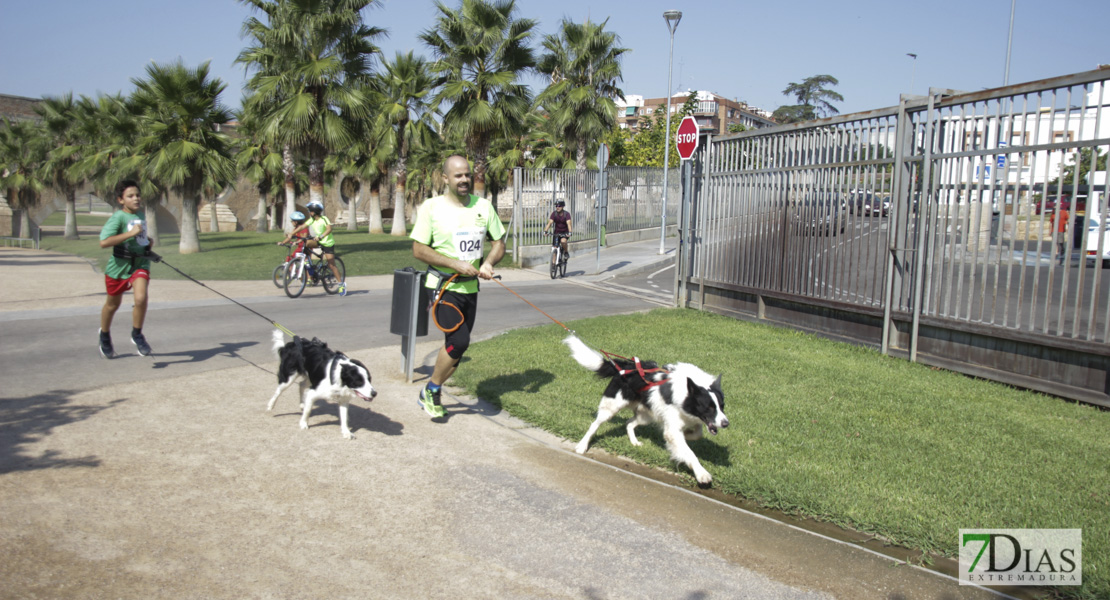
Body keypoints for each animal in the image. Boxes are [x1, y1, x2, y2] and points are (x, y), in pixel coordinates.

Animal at [563, 334, 728, 483]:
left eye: (722, 406)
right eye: (708, 407)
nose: (726, 423)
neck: (686, 394)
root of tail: (625, 367)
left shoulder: (691, 419)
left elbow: (698, 433)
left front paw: (687, 435)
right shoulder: (674, 427)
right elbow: (688, 451)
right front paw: (701, 474)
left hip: (646, 415)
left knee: (629, 423)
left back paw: (634, 442)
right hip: (612, 407)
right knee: (595, 424)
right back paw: (582, 445)